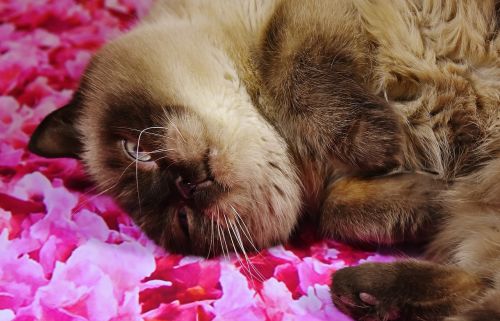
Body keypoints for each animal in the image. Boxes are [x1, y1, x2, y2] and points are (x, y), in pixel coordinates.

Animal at [28, 0, 500, 320]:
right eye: (183, 221)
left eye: (137, 151)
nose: (185, 186)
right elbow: (335, 211)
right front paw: (428, 193)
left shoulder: (304, 22)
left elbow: (300, 71)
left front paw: (378, 142)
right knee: (483, 295)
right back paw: (361, 291)